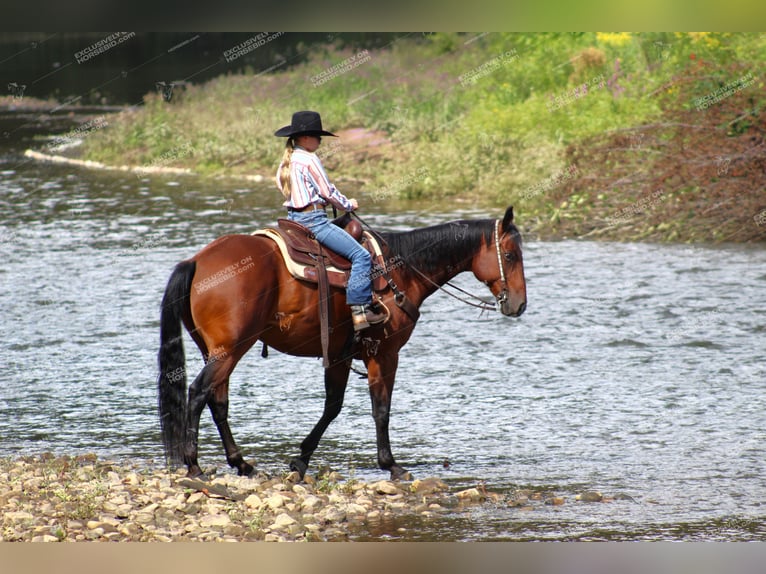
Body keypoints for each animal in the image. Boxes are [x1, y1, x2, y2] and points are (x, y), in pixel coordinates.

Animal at [156, 206, 528, 482]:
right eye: (510, 255)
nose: (519, 305)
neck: (401, 271)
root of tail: (197, 261)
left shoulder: (338, 355)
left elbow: (332, 406)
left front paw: (301, 460)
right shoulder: (384, 354)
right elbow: (381, 409)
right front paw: (391, 465)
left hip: (218, 350)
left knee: (218, 401)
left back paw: (241, 463)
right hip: (229, 350)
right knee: (198, 393)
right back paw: (194, 464)